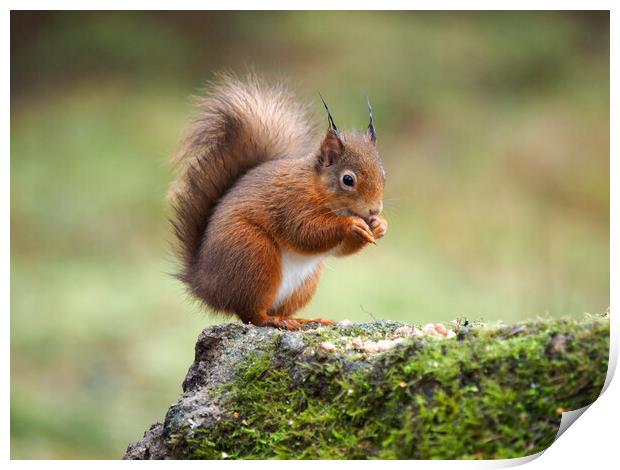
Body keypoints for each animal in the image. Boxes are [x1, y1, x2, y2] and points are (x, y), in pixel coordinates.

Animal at [167, 74, 386, 330]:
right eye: (348, 180)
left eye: (384, 175)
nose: (374, 210)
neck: (316, 188)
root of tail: (205, 284)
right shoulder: (290, 202)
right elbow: (305, 232)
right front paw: (352, 224)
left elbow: (339, 249)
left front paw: (380, 225)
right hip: (254, 255)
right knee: (252, 314)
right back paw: (275, 321)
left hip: (302, 284)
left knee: (276, 309)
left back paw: (301, 319)